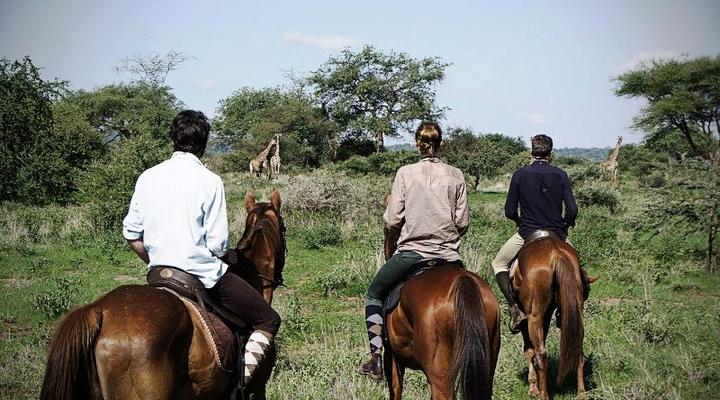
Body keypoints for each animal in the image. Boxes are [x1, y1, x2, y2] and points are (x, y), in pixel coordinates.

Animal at [512, 236, 597, 400]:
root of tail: (556, 253)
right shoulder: (547, 315)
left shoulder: (530, 318)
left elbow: (529, 349)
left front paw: (533, 387)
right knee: (578, 350)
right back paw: (581, 393)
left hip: (534, 316)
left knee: (541, 354)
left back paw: (543, 394)